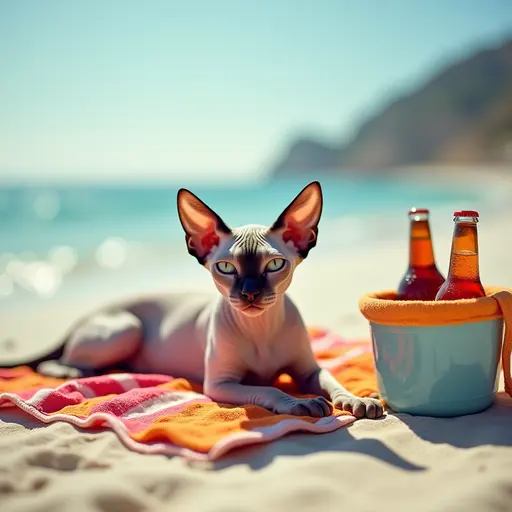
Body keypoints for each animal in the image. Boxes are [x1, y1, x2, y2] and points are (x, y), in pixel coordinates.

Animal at [2, 182, 382, 418]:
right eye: (225, 268)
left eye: (274, 265)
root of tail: (95, 311)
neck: (260, 329)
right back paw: (83, 370)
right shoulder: (221, 385)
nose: (249, 293)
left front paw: (356, 400)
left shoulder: (308, 370)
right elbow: (270, 390)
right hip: (126, 327)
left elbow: (333, 382)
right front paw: (297, 404)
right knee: (57, 362)